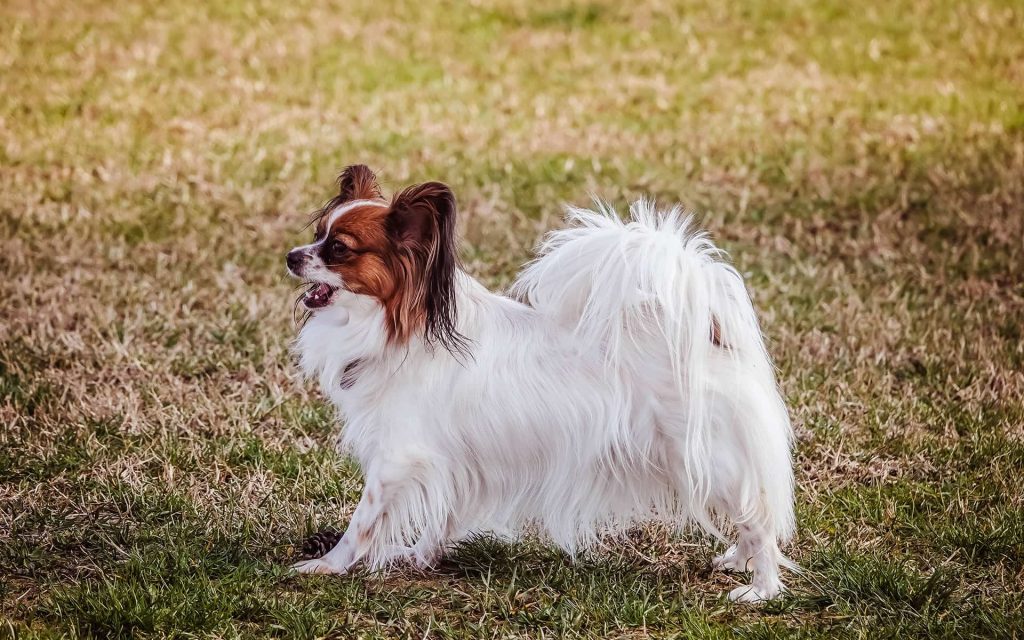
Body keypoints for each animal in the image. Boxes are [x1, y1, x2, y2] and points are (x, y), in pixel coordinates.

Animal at [284, 165, 794, 602]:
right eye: (317, 234)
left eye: (339, 248)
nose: (290, 257)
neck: (397, 326)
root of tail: (708, 334)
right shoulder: (452, 460)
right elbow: (442, 516)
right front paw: (420, 558)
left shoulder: (395, 457)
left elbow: (362, 521)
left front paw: (328, 565)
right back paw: (737, 560)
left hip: (710, 459)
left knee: (760, 518)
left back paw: (761, 589)